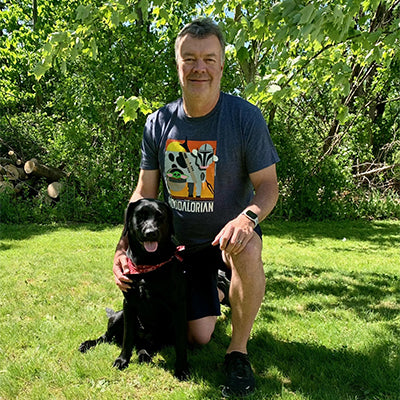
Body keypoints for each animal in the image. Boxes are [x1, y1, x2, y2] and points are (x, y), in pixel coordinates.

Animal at [80, 198, 190, 380]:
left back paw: (144, 354)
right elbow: (127, 338)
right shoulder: (128, 304)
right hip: (119, 316)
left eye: (160, 216)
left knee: (144, 346)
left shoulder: (178, 307)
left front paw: (182, 369)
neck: (148, 263)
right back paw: (88, 344)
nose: (150, 232)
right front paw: (122, 360)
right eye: (140, 215)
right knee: (106, 337)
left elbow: (181, 343)